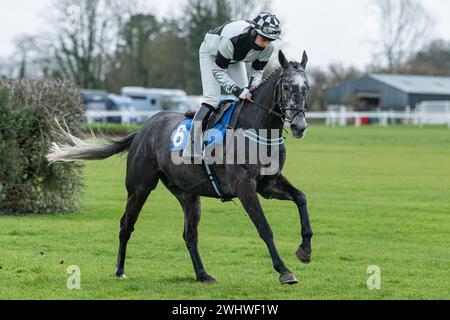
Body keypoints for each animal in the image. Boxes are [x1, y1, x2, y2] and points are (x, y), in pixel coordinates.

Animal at [46, 50, 312, 284]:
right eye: (287, 86)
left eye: (306, 87)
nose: (299, 126)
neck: (257, 128)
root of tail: (142, 129)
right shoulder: (245, 186)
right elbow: (264, 227)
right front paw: (284, 271)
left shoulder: (268, 184)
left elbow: (301, 197)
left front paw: (305, 249)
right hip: (140, 187)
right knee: (126, 225)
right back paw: (120, 270)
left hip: (188, 194)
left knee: (189, 235)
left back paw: (202, 275)